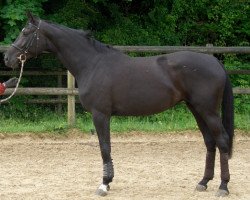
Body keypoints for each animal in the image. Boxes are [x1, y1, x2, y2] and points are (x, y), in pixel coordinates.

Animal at [4, 13, 234, 197]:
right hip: (196, 109)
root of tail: (215, 62)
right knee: (210, 142)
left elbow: (104, 147)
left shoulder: (100, 114)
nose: (7, 58)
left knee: (222, 141)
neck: (92, 64)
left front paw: (104, 184)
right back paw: (203, 182)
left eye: (25, 32)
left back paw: (223, 187)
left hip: (208, 111)